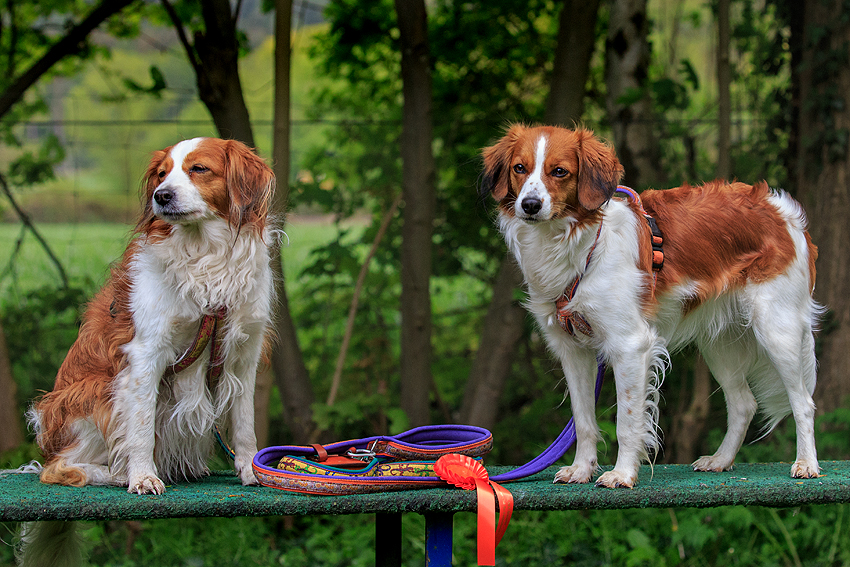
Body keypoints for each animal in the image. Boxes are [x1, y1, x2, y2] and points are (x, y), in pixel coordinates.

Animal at [19, 139, 274, 567]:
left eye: (199, 169)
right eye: (161, 174)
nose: (162, 196)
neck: (205, 254)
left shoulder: (244, 355)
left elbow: (244, 424)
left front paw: (250, 469)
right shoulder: (145, 354)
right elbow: (139, 429)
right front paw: (141, 476)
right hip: (92, 395)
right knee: (57, 469)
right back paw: (115, 472)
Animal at [480, 124, 820, 488]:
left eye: (559, 171)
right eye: (520, 168)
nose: (529, 205)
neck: (579, 248)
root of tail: (779, 208)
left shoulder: (630, 346)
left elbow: (628, 422)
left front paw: (622, 473)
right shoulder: (573, 352)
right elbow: (583, 421)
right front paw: (582, 469)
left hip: (777, 331)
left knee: (803, 402)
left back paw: (806, 463)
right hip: (719, 344)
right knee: (743, 404)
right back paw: (721, 460)